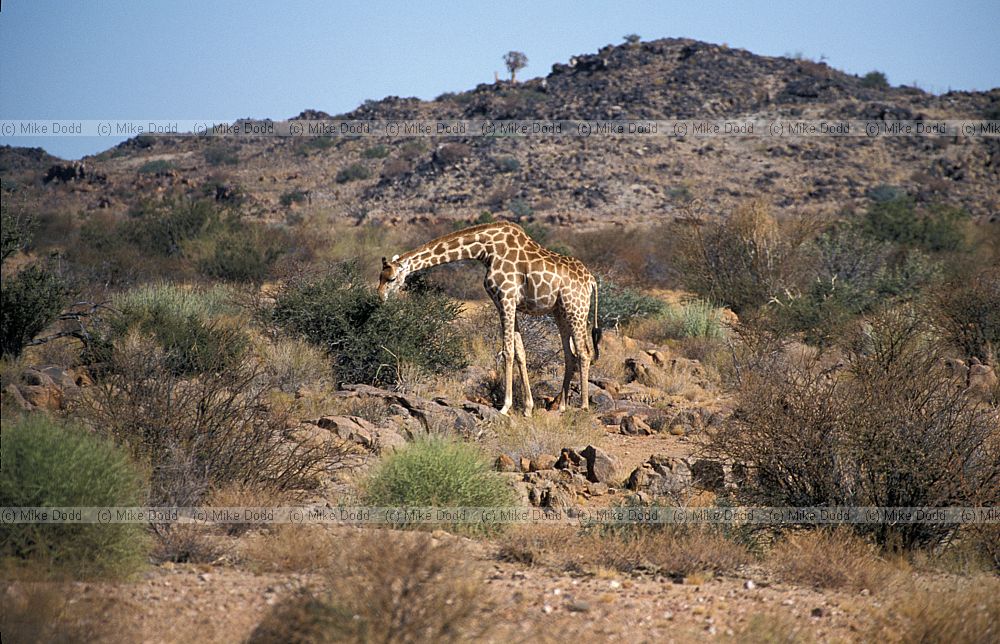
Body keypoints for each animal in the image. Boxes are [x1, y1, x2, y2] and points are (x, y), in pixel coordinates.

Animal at [378, 220, 600, 418]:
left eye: (391, 278)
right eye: (379, 277)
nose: (380, 297)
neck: (486, 251)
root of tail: (592, 281)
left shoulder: (506, 299)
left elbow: (508, 352)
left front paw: (505, 407)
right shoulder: (509, 303)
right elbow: (520, 352)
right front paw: (528, 408)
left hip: (576, 308)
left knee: (584, 352)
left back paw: (583, 406)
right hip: (560, 312)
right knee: (570, 354)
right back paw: (561, 407)